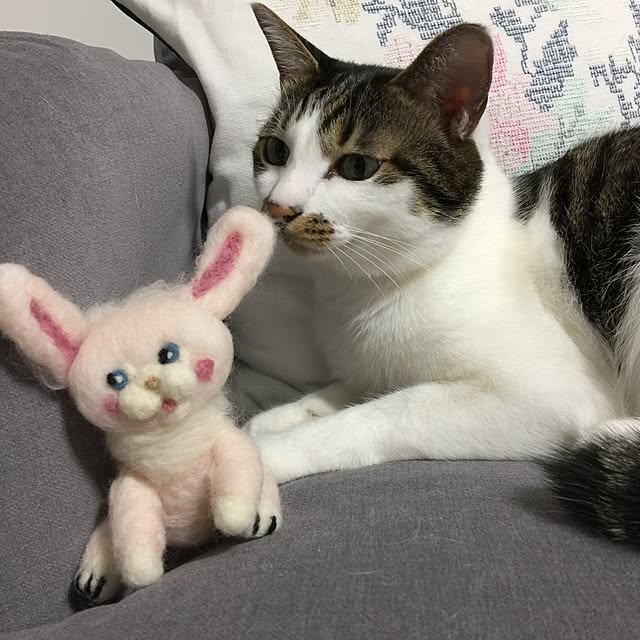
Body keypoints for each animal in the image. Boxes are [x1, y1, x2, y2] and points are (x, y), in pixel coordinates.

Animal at [245, 3, 640, 544]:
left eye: (357, 166)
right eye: (275, 152)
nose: (278, 207)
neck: (369, 289)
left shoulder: (546, 395)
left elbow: (379, 415)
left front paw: (261, 456)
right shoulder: (370, 367)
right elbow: (338, 395)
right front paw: (266, 423)